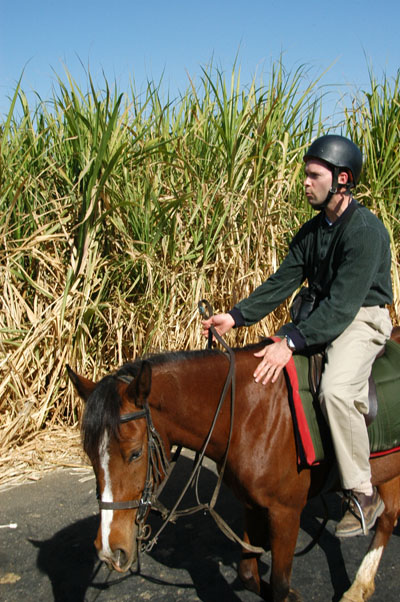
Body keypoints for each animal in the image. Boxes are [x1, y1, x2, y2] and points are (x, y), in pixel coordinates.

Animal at [67, 328, 400, 600]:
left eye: (135, 454)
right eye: (90, 455)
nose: (109, 550)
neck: (249, 412)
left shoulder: (286, 512)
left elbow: (279, 587)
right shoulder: (252, 505)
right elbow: (248, 575)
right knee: (388, 517)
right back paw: (360, 585)